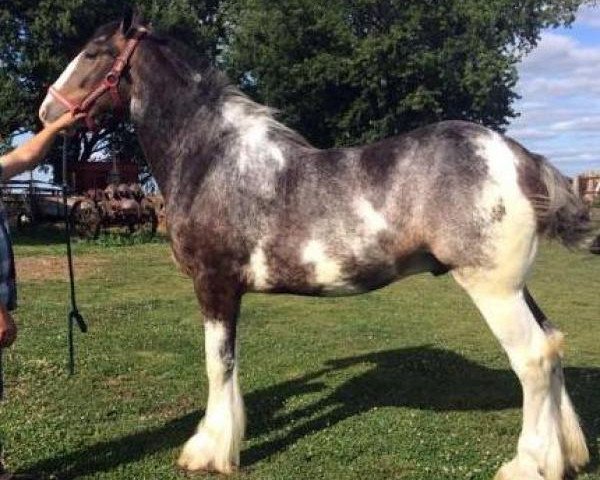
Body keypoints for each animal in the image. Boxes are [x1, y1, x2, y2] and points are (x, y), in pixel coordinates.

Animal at [39, 11, 592, 480]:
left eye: (93, 53)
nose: (46, 112)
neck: (213, 159)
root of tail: (519, 158)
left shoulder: (214, 285)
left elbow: (219, 363)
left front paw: (209, 451)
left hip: (492, 288)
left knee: (533, 359)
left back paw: (526, 465)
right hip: (516, 287)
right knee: (553, 344)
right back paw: (565, 455)